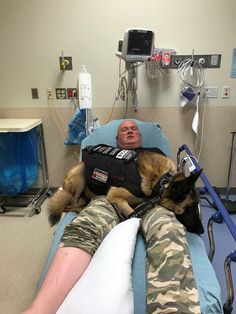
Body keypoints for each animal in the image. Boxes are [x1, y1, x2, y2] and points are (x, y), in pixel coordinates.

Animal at [47, 149, 204, 233]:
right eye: (190, 209)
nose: (202, 231)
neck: (161, 181)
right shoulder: (115, 195)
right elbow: (130, 211)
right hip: (80, 176)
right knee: (72, 204)